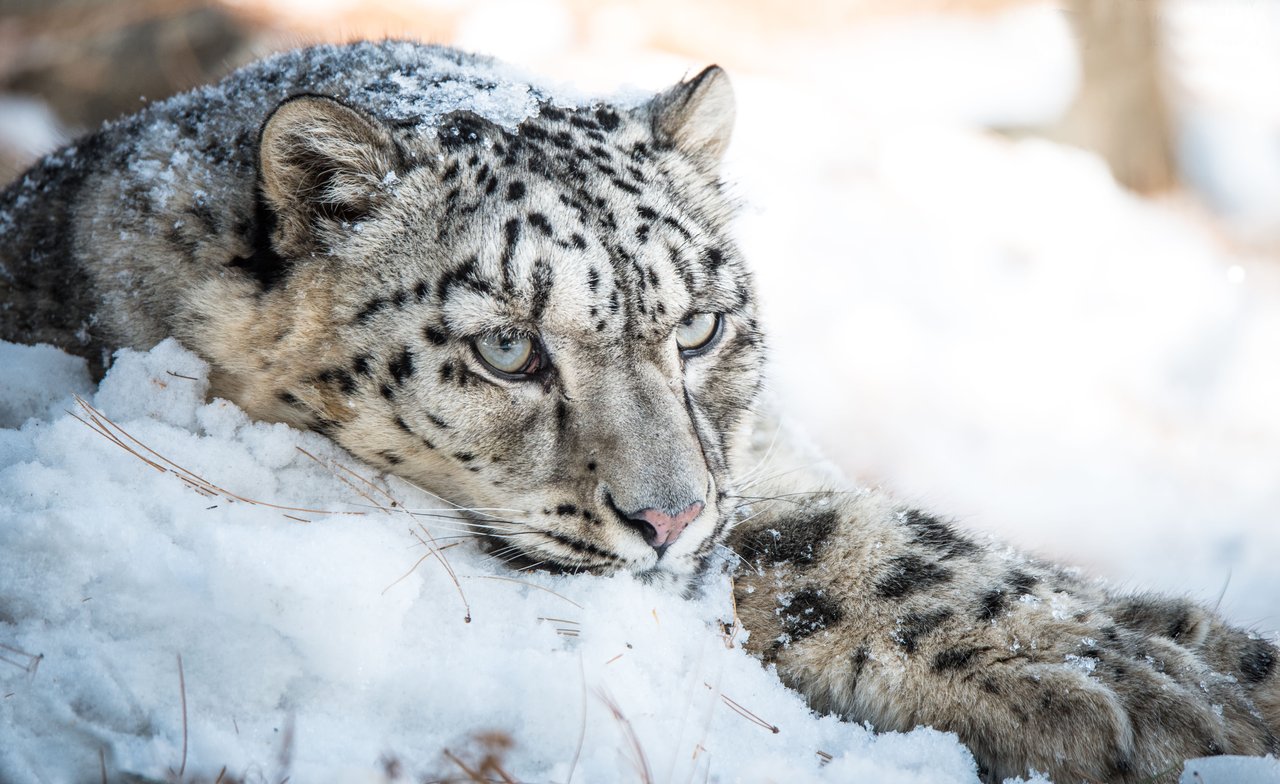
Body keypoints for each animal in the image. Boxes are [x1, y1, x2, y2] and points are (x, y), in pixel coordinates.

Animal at [0, 40, 1276, 783]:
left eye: (697, 326)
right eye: (507, 347)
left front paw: (1208, 661)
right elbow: (842, 553)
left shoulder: (763, 460)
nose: (670, 517)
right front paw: (1130, 686)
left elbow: (932, 538)